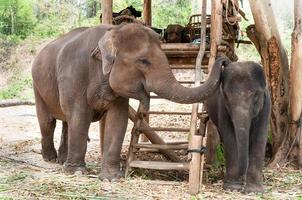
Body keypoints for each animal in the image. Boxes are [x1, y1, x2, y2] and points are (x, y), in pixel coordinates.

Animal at [31, 23, 223, 180]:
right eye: (143, 61)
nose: (223, 61)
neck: (111, 32)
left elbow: (118, 119)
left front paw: (111, 178)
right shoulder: (75, 76)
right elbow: (80, 117)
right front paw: (76, 172)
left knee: (65, 122)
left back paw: (61, 160)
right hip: (37, 87)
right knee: (48, 122)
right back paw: (50, 158)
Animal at [205, 57, 272, 193]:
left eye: (256, 97)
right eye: (226, 96)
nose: (242, 180)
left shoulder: (266, 105)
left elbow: (260, 135)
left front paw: (254, 190)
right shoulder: (222, 107)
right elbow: (230, 136)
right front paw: (232, 187)